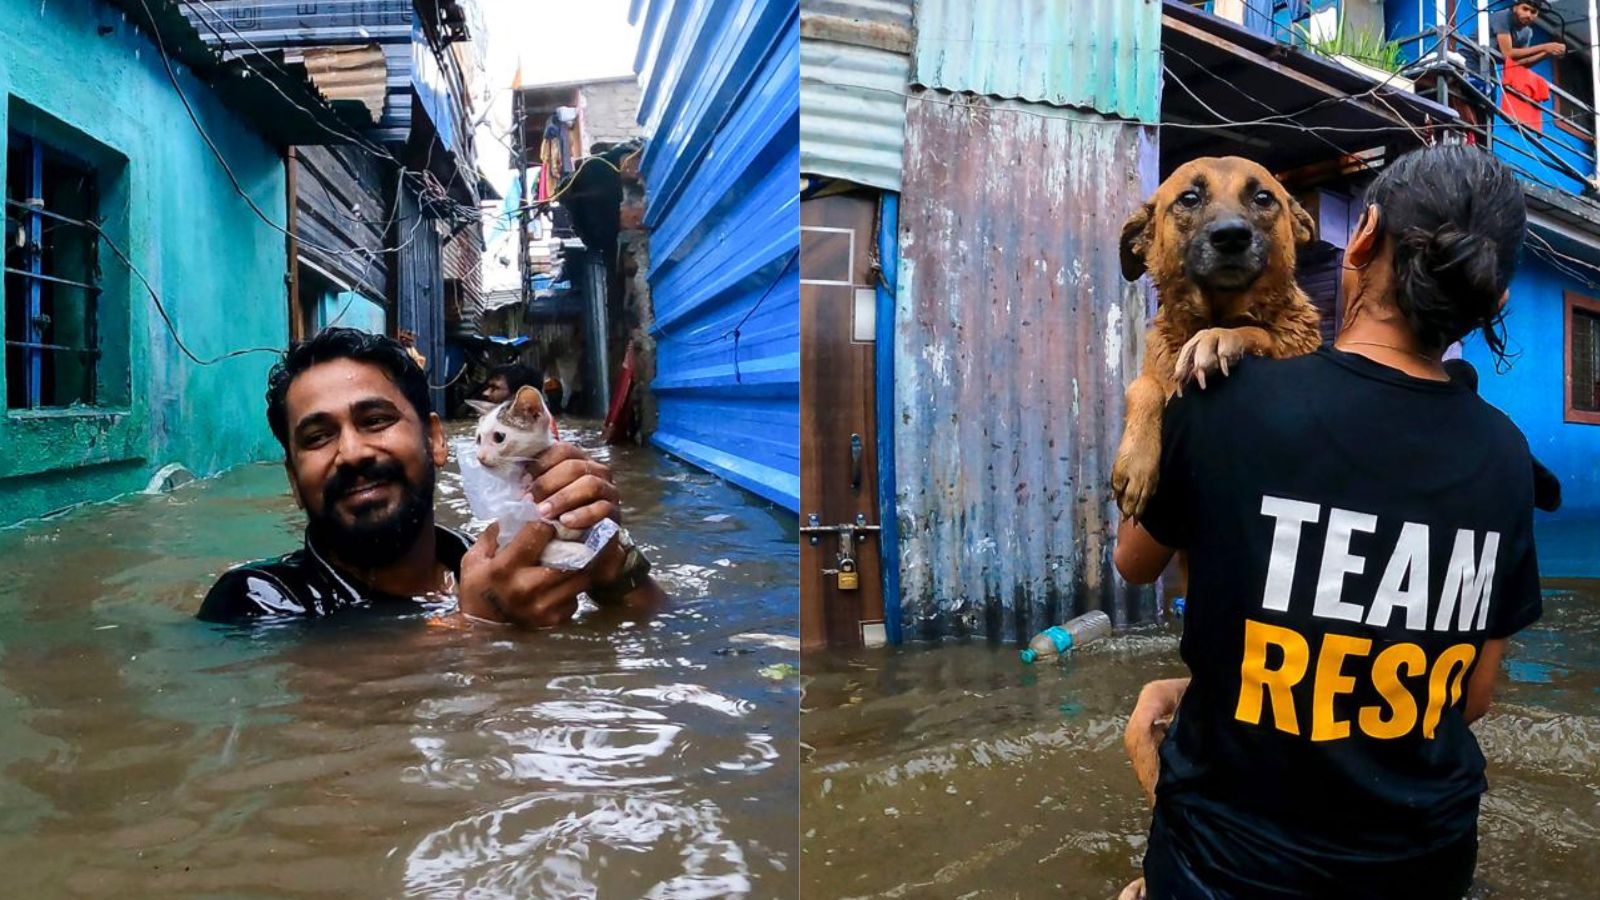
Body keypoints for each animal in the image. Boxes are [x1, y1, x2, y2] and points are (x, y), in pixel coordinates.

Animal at [1113, 156, 1324, 518]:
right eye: (1189, 198)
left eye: (1263, 198)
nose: (1231, 236)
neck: (1214, 313)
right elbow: (1143, 386)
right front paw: (1135, 462)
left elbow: (1257, 331)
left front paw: (1217, 339)